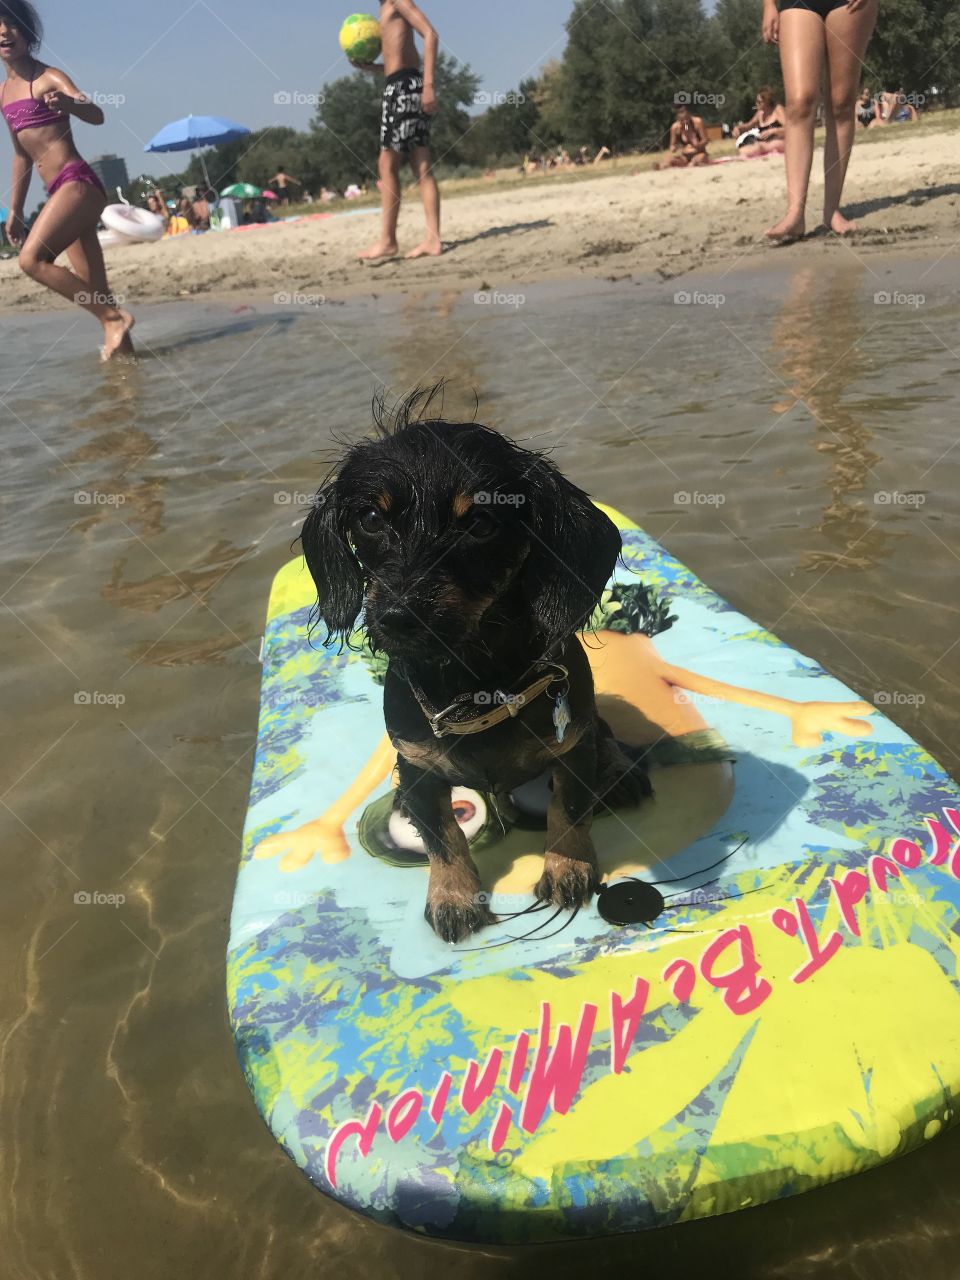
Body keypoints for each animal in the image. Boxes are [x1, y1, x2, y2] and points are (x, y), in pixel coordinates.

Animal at [302, 399, 655, 942]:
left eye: (481, 525)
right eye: (370, 518)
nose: (397, 618)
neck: (476, 685)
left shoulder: (571, 748)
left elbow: (568, 810)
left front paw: (566, 868)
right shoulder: (419, 768)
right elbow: (444, 837)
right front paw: (454, 897)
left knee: (603, 733)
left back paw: (618, 770)